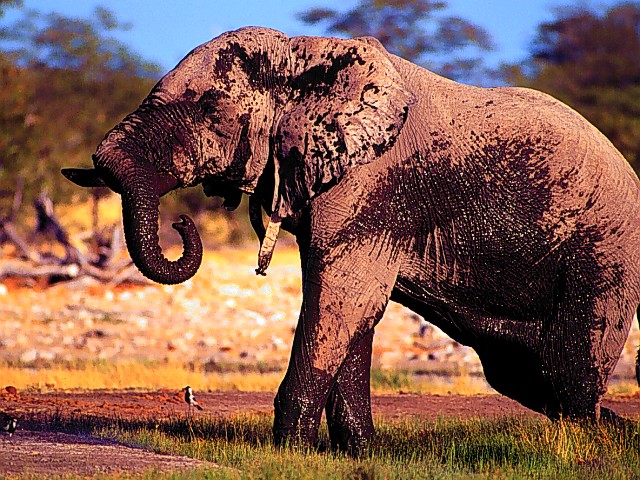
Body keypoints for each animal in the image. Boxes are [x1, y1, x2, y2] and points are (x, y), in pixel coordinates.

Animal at [62, 26, 640, 453]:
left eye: (210, 109)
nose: (182, 224)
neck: (303, 55)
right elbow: (352, 313)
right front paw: (358, 452)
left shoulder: (372, 185)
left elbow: (343, 302)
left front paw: (289, 453)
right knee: (522, 374)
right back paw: (619, 431)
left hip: (604, 253)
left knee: (566, 374)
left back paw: (592, 444)